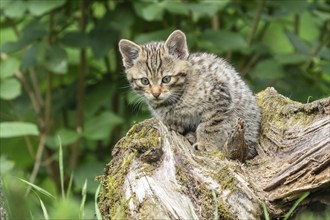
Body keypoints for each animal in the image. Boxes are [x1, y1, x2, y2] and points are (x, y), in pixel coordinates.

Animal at [118, 29, 260, 160]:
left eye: (166, 79)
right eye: (145, 81)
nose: (156, 93)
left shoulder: (219, 95)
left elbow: (210, 124)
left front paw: (205, 143)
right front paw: (174, 125)